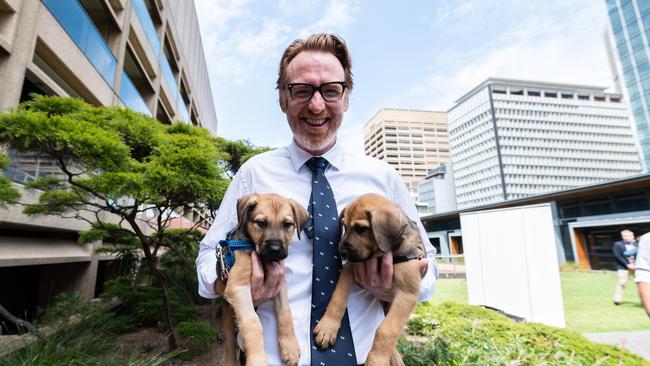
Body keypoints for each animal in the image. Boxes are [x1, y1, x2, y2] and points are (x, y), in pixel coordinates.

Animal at [219, 193, 308, 366]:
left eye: (287, 224)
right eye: (261, 223)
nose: (275, 249)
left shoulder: (280, 284)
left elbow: (285, 312)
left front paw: (290, 347)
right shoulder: (238, 286)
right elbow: (252, 322)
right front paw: (258, 359)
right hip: (227, 320)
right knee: (229, 346)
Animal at [310, 193, 422, 364]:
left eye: (361, 229)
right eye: (345, 226)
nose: (342, 253)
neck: (379, 255)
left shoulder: (407, 295)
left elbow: (387, 330)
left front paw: (377, 360)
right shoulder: (349, 270)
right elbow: (337, 298)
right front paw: (327, 327)